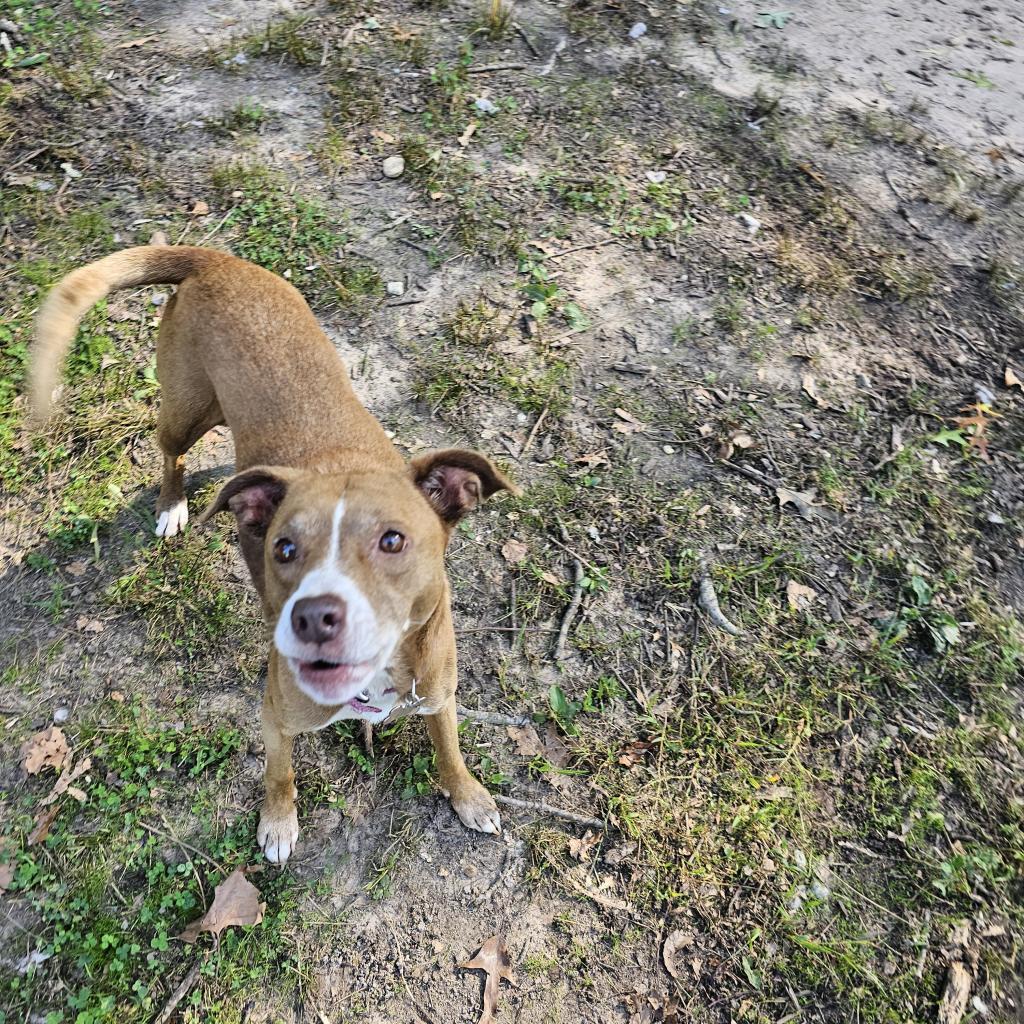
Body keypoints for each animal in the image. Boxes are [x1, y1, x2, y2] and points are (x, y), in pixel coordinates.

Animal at [30, 247, 512, 864]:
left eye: (392, 540)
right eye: (284, 548)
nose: (314, 617)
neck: (378, 680)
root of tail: (211, 260)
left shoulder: (439, 692)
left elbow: (449, 750)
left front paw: (468, 795)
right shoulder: (276, 715)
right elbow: (279, 773)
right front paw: (278, 823)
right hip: (186, 409)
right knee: (171, 455)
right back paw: (172, 506)